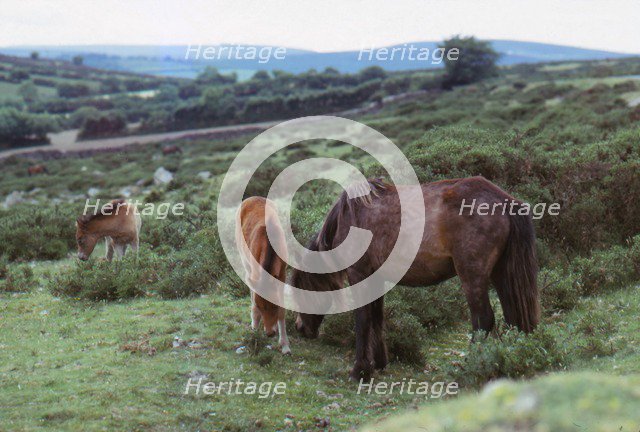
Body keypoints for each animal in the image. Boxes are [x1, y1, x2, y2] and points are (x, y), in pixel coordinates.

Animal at [235, 196, 291, 354]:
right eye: (261, 307)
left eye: (274, 305)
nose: (269, 333)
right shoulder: (255, 272)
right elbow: (254, 302)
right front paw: (254, 332)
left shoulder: (282, 273)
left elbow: (282, 310)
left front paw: (285, 346)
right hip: (244, 260)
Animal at [292, 176, 539, 380]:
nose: (300, 329)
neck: (352, 216)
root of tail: (504, 201)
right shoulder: (376, 279)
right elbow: (377, 319)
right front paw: (379, 363)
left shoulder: (359, 275)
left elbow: (362, 322)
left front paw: (360, 370)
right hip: (501, 275)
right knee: (511, 318)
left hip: (473, 277)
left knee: (484, 320)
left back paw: (471, 365)